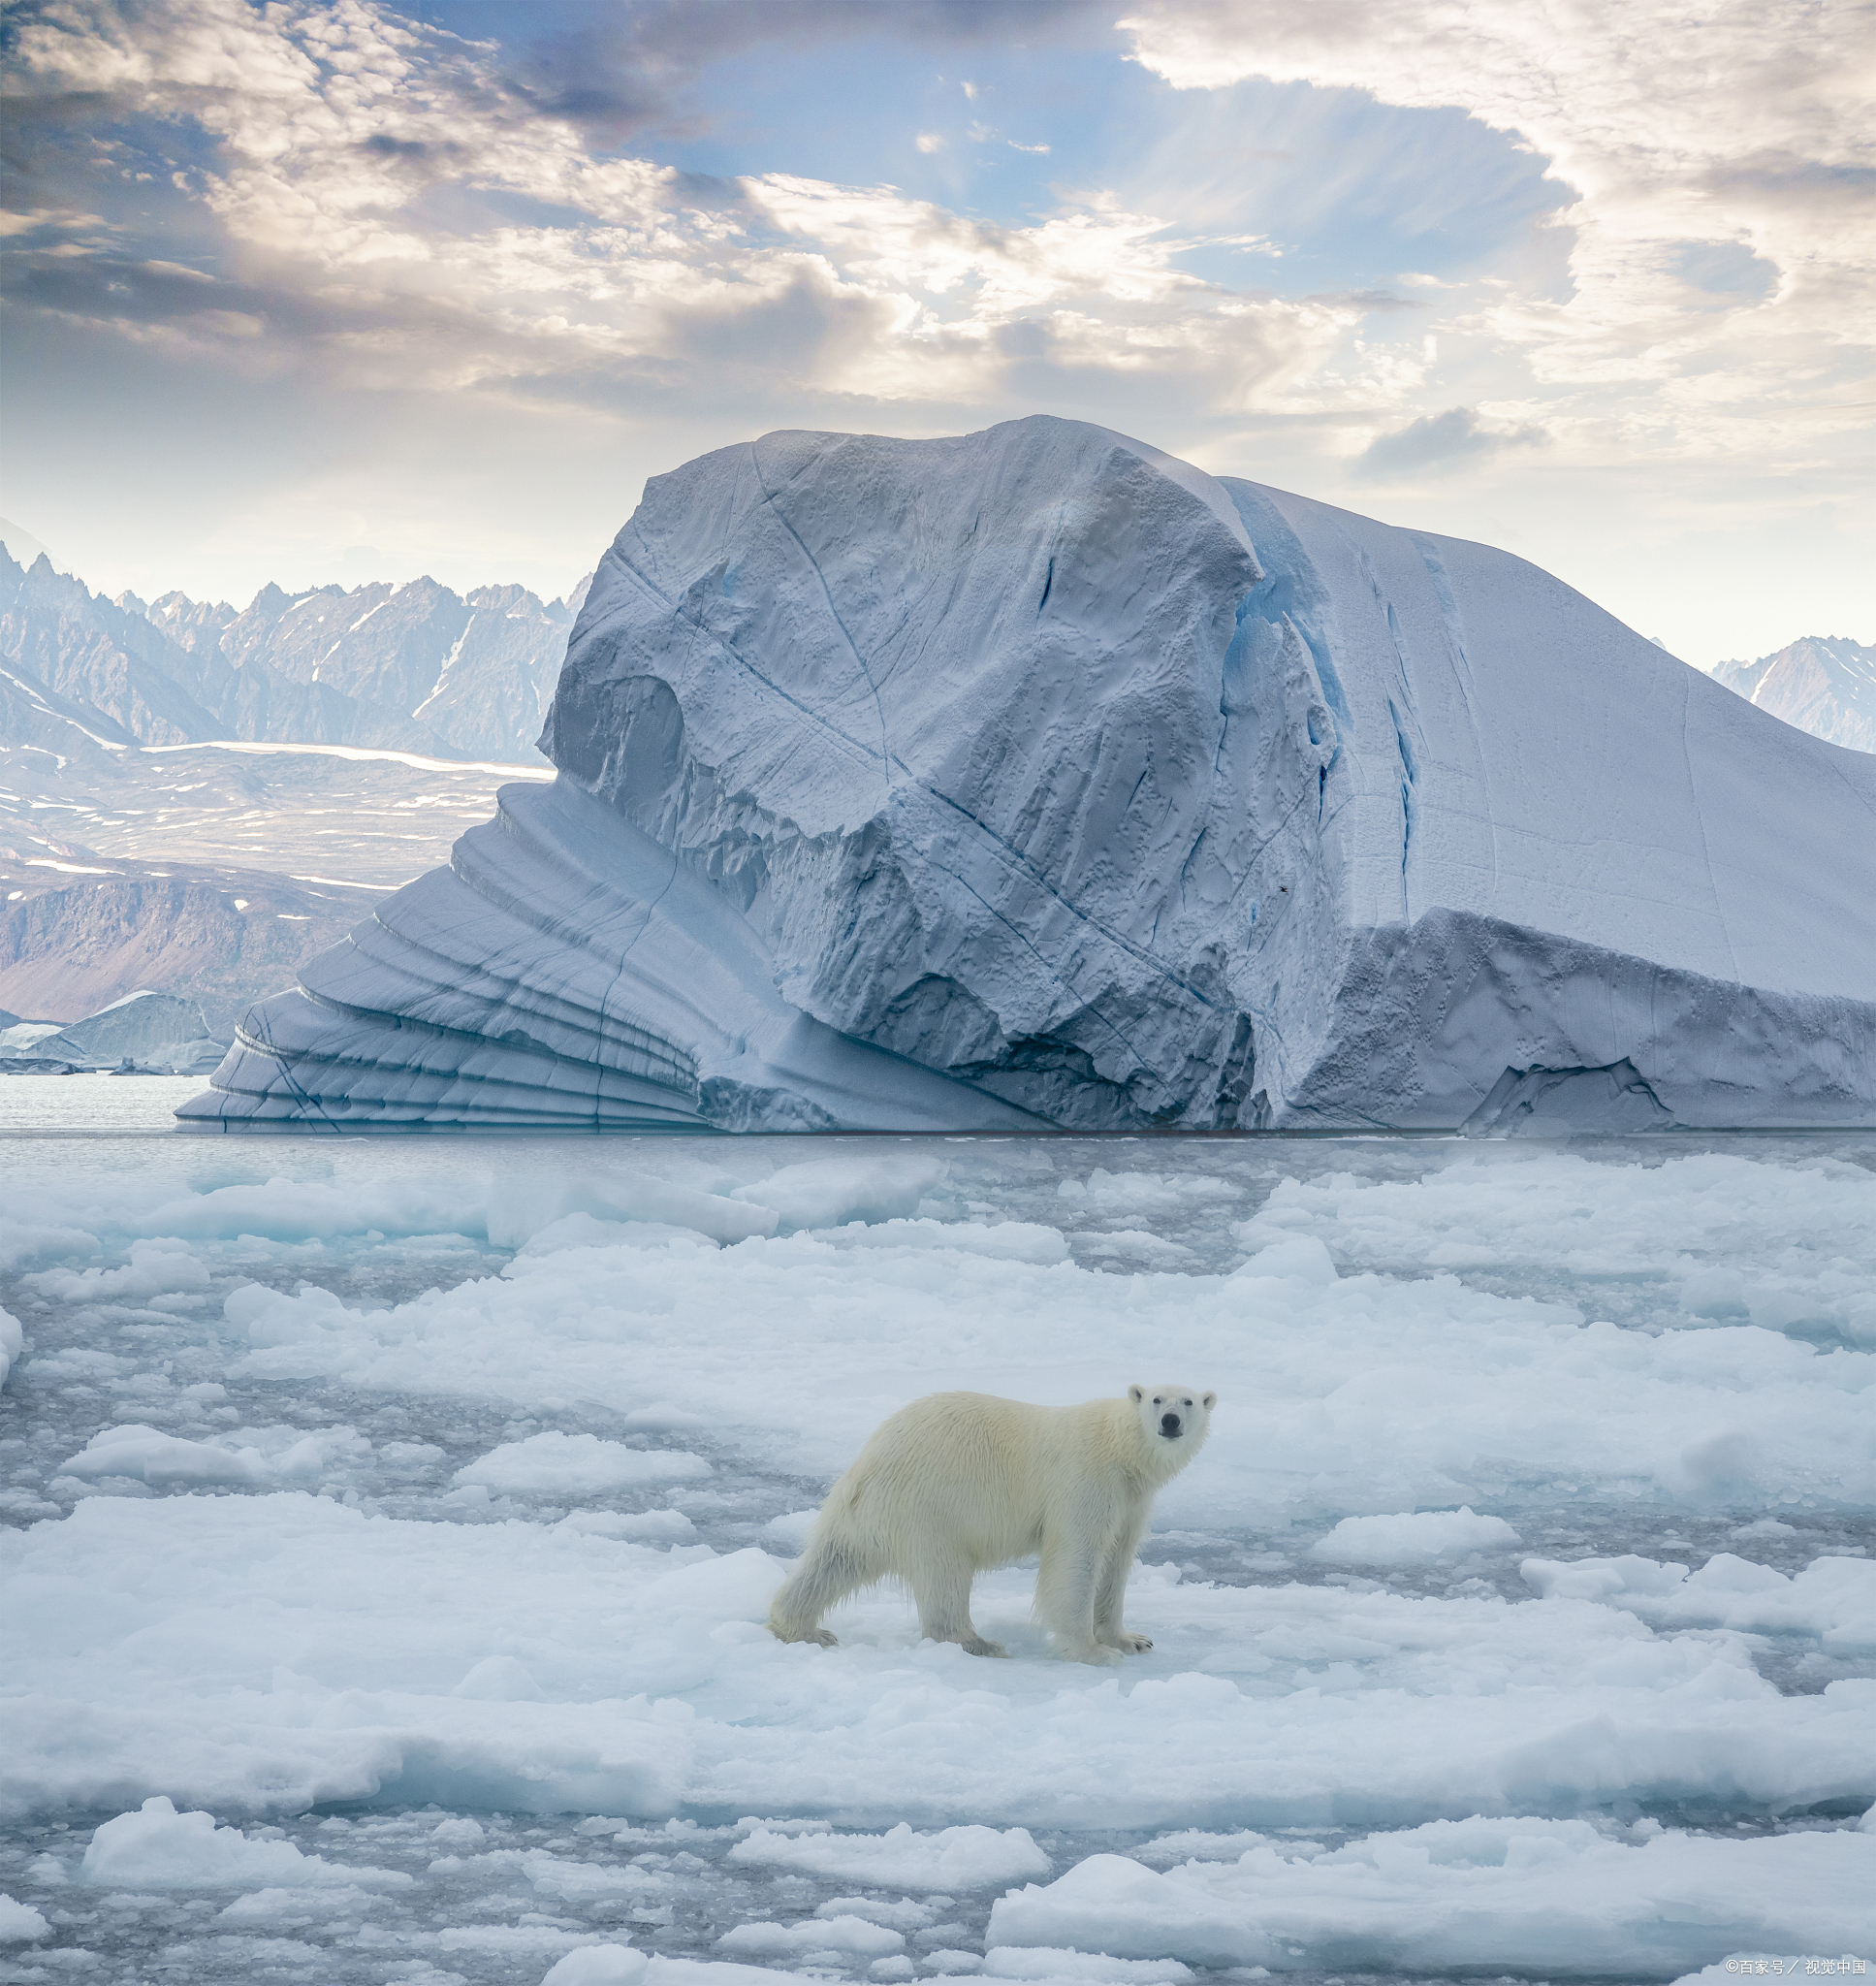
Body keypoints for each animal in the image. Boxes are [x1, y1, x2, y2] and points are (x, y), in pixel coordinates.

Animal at [766, 1382, 1215, 1660]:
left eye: (1188, 1402)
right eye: (1156, 1400)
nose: (1170, 1421)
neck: (1119, 1448)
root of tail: (865, 1464)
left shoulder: (1130, 1499)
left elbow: (1117, 1560)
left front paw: (1131, 1640)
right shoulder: (1085, 1482)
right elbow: (1077, 1557)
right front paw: (1090, 1650)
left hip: (867, 1513)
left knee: (833, 1560)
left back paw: (804, 1628)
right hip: (931, 1508)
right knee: (945, 1577)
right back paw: (978, 1643)